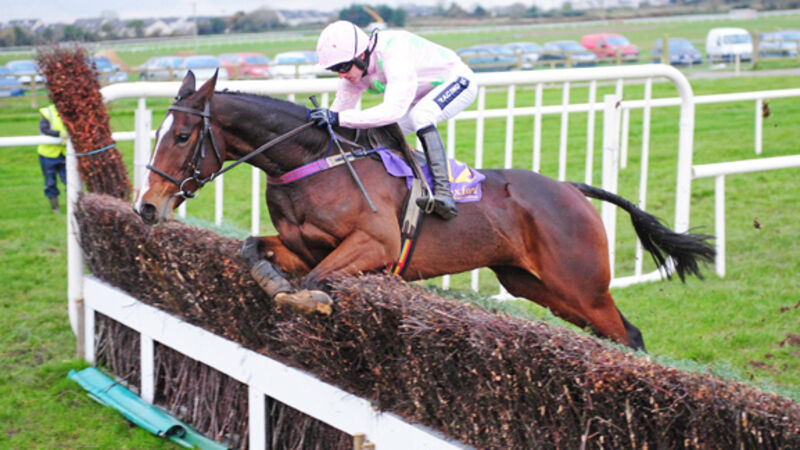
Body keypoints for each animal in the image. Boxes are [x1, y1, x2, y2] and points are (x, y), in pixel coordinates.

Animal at [134, 71, 715, 351]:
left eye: (182, 136)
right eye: (160, 130)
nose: (146, 206)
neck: (314, 163)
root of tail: (571, 189)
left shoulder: (373, 245)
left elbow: (316, 283)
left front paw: (308, 301)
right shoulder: (301, 246)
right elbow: (254, 250)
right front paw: (272, 282)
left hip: (582, 286)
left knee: (628, 336)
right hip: (540, 287)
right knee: (618, 335)